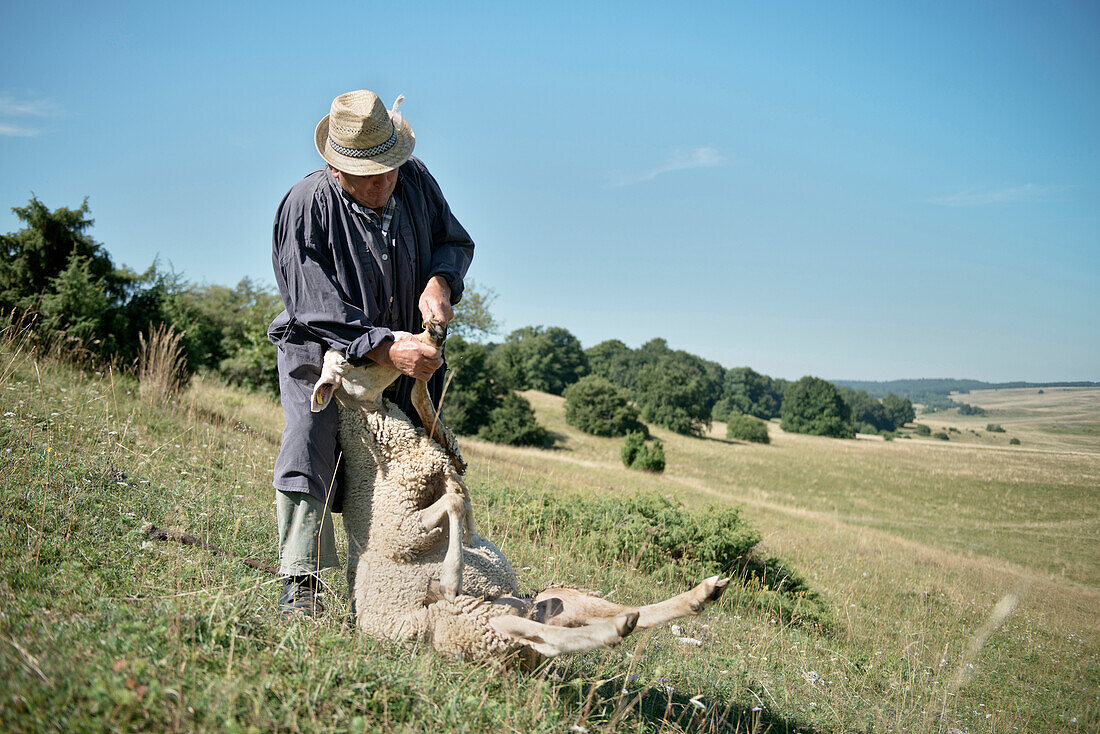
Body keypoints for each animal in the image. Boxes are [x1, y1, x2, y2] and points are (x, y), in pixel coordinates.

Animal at [312, 323, 730, 664]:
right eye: (357, 360)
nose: (430, 336)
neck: (378, 452)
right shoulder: (399, 531)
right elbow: (454, 503)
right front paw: (450, 576)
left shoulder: (443, 461)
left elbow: (446, 457)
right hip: (471, 622)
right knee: (551, 639)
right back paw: (619, 628)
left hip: (546, 600)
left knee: (600, 615)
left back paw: (698, 595)